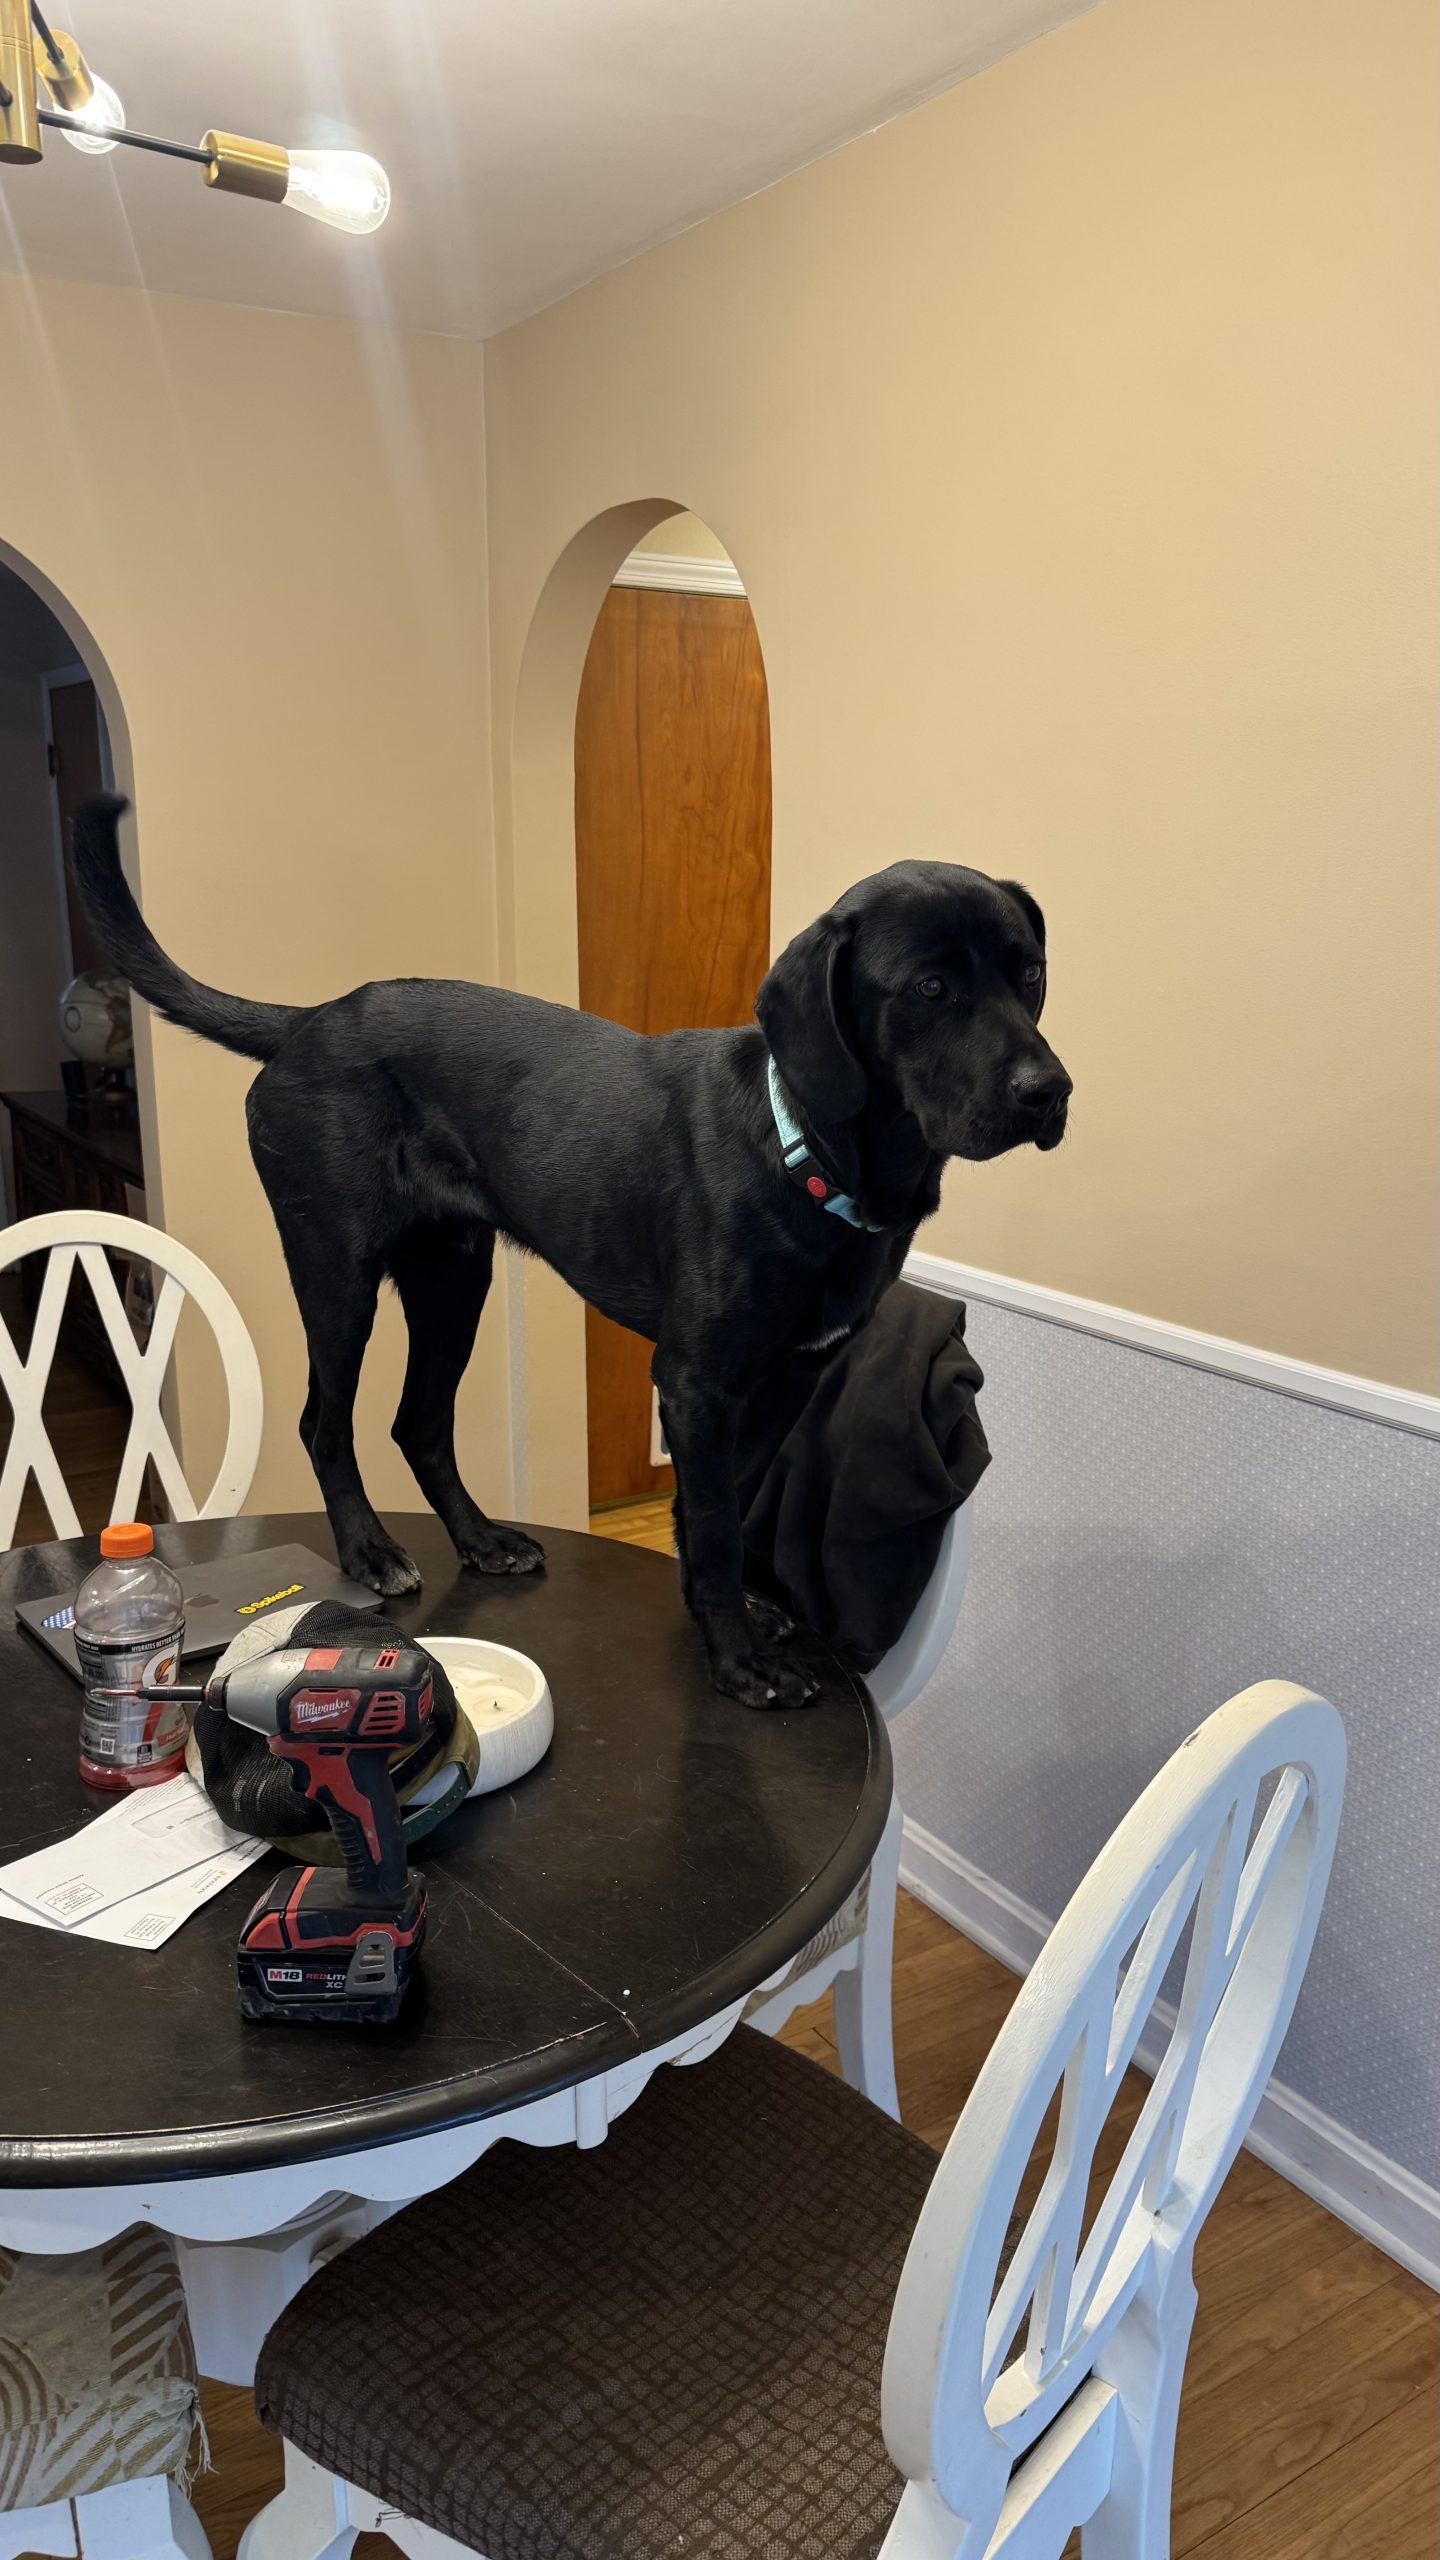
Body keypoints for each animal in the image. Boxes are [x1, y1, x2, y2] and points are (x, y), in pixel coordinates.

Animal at [74, 797, 1070, 1709]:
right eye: (930, 989)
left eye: (1030, 972)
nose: (1049, 1091)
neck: (810, 1156)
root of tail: (311, 1018)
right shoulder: (696, 1379)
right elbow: (716, 1520)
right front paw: (740, 1659)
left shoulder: (785, 1376)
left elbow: (724, 1502)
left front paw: (734, 1612)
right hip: (337, 1272)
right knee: (327, 1421)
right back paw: (370, 1551)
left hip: (453, 1277)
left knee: (418, 1422)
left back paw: (481, 1539)